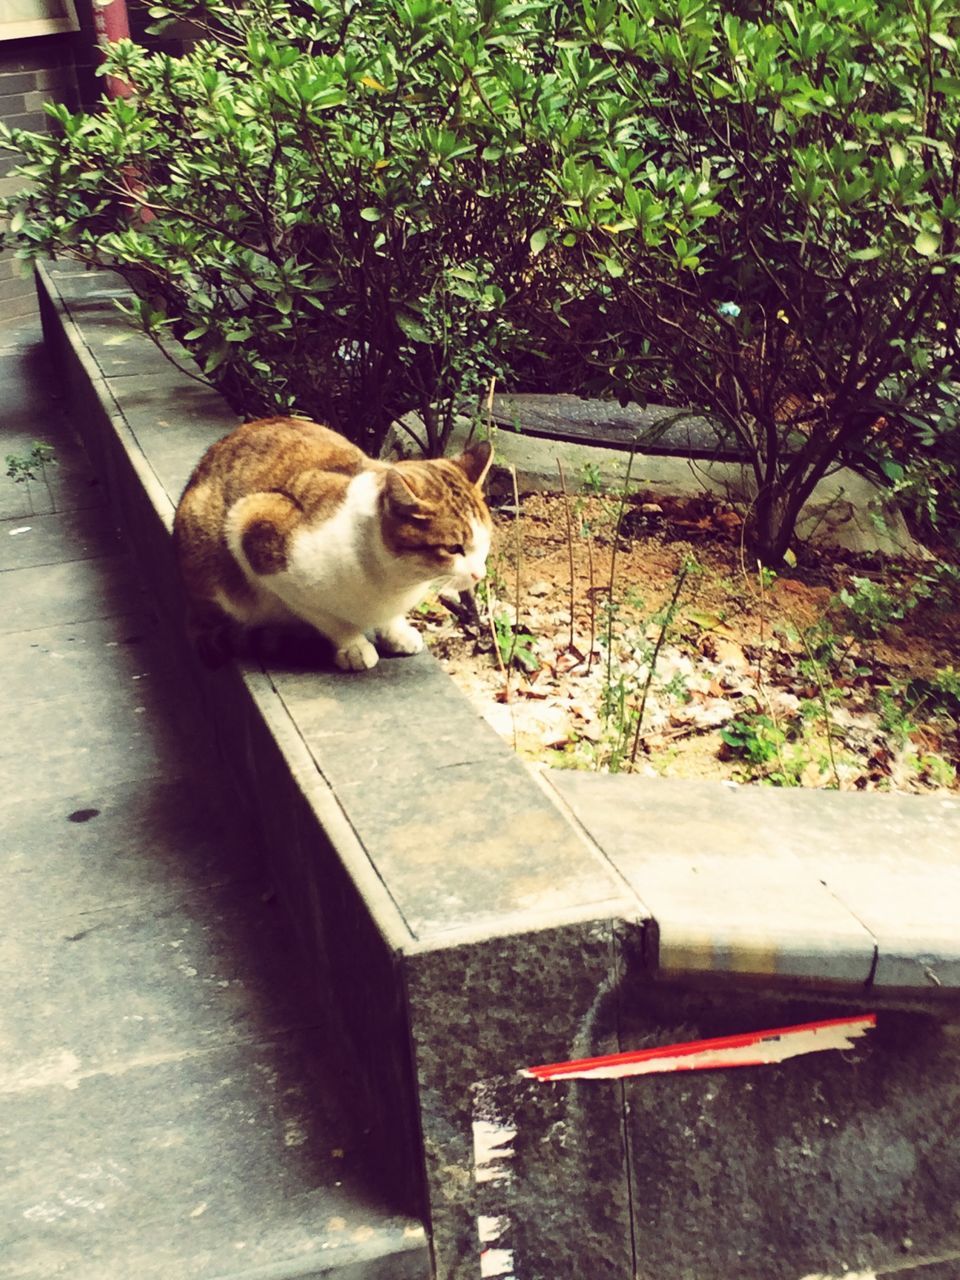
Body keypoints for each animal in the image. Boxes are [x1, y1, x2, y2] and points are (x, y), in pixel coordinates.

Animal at [174, 414, 499, 670]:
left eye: (485, 541)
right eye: (454, 548)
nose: (479, 574)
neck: (397, 580)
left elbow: (388, 619)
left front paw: (396, 632)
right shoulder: (254, 530)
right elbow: (329, 619)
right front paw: (354, 646)